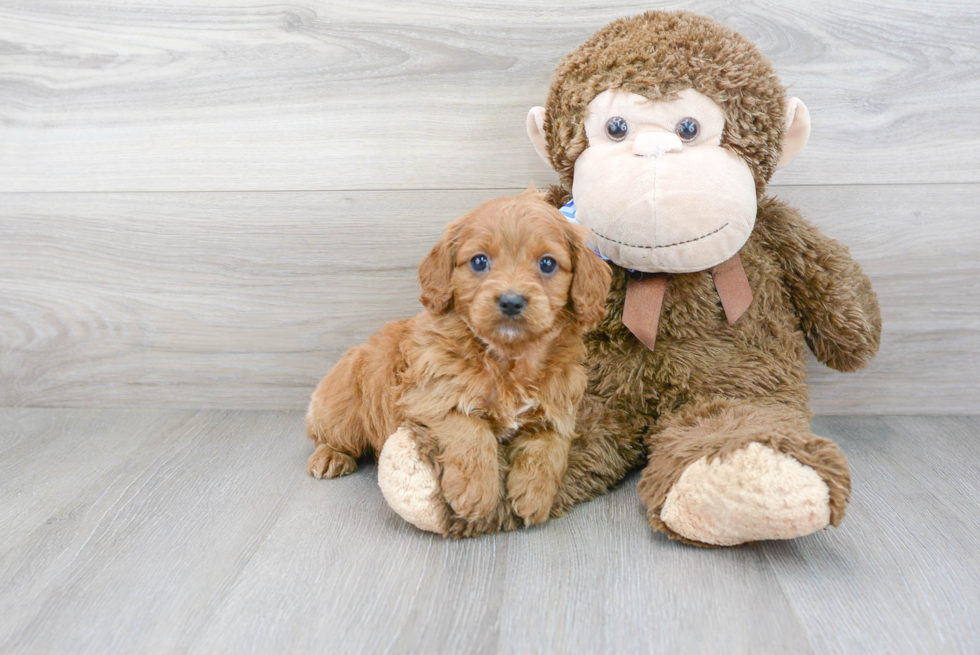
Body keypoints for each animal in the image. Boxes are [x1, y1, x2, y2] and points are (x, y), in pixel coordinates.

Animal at [306, 187, 612, 524]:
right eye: (479, 261)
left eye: (547, 264)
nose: (511, 301)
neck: (508, 359)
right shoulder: (431, 398)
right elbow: (471, 431)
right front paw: (475, 495)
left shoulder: (558, 411)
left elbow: (550, 449)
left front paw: (534, 497)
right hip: (341, 410)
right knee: (325, 435)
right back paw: (329, 457)